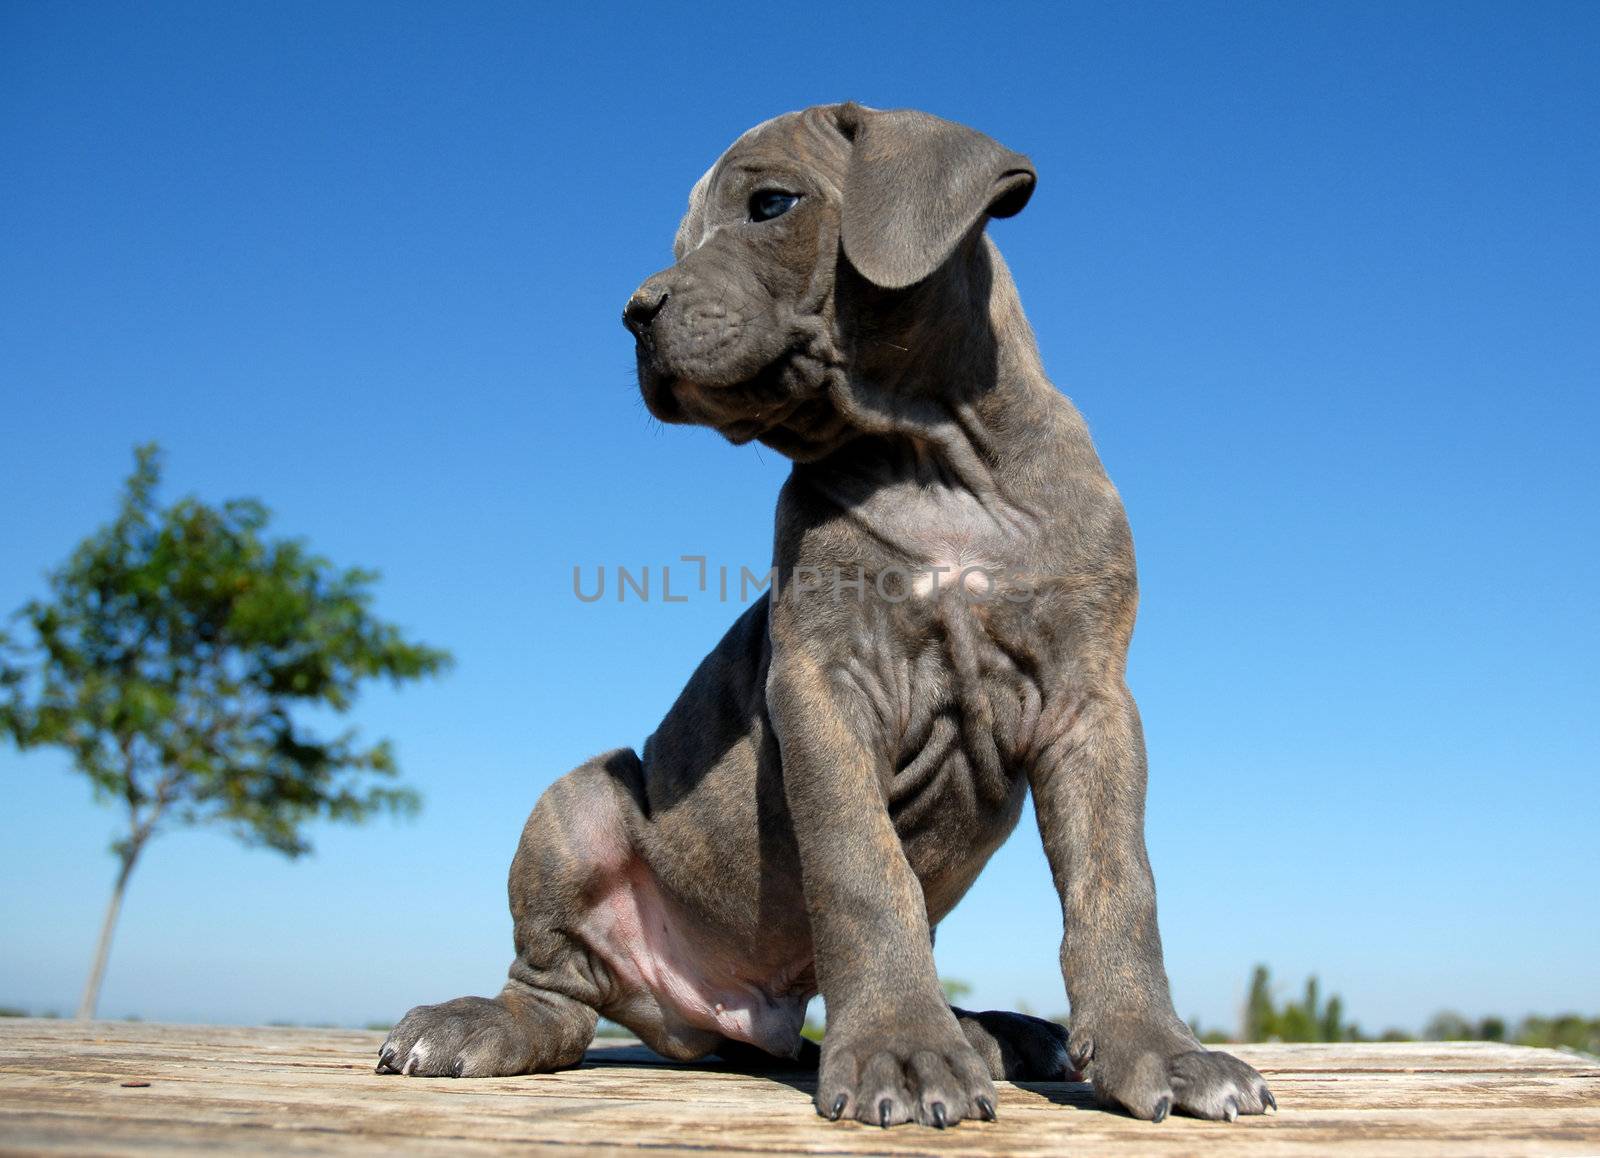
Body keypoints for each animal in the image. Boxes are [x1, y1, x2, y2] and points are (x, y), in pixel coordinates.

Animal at [374, 103, 1273, 1126]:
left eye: (771, 205)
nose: (634, 313)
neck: (932, 461)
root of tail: (725, 1013)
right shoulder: (822, 689)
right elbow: (862, 871)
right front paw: (902, 1050)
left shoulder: (1092, 703)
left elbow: (1117, 885)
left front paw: (1158, 1048)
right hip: (582, 801)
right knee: (556, 993)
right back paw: (479, 1022)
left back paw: (991, 1030)